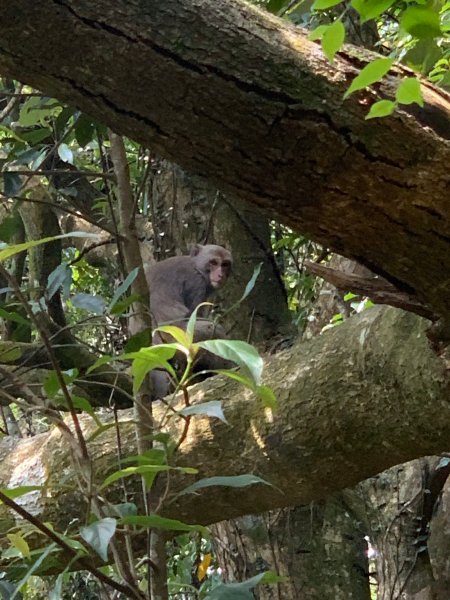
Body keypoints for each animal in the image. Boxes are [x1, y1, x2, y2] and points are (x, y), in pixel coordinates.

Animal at [146, 244, 234, 398]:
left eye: (225, 264)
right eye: (213, 262)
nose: (221, 275)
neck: (195, 265)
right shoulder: (196, 283)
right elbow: (193, 314)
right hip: (181, 343)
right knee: (213, 330)